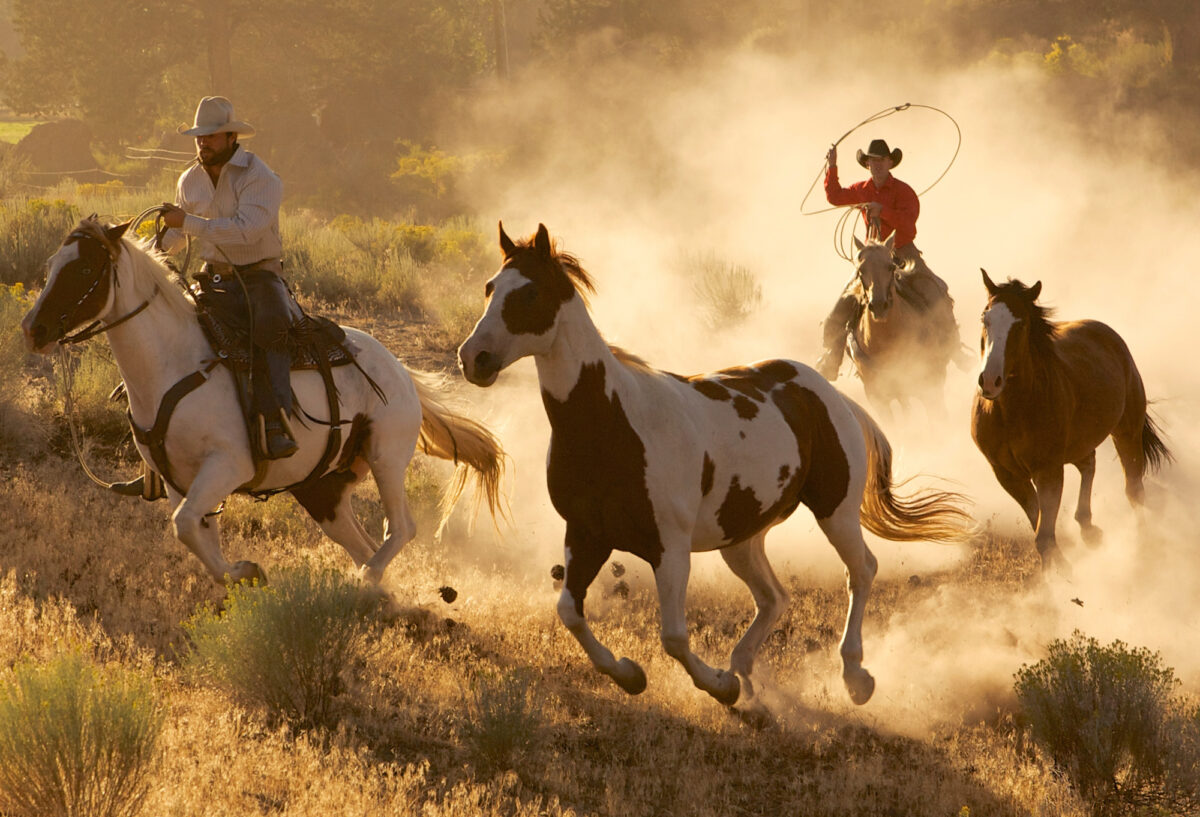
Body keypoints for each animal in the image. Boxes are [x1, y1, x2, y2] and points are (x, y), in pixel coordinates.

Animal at [23, 217, 501, 585]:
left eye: (84, 269)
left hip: (385, 457)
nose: (33, 329)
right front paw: (241, 574)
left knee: (400, 529)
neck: (174, 365)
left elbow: (183, 526)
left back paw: (365, 581)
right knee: (362, 541)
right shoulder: (181, 480)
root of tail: (400, 370)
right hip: (321, 487)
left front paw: (245, 572)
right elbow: (196, 532)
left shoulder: (227, 465)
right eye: (51, 266)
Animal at [969, 271, 1166, 571]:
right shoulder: (1007, 474)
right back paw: (1089, 529)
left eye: (1021, 324)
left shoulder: (1048, 470)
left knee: (1134, 490)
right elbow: (1039, 523)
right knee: (1089, 463)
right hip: (1079, 443)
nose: (990, 381)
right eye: (985, 318)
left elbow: (1044, 535)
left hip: (1126, 432)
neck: (1012, 411)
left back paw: (1142, 545)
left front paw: (1060, 573)